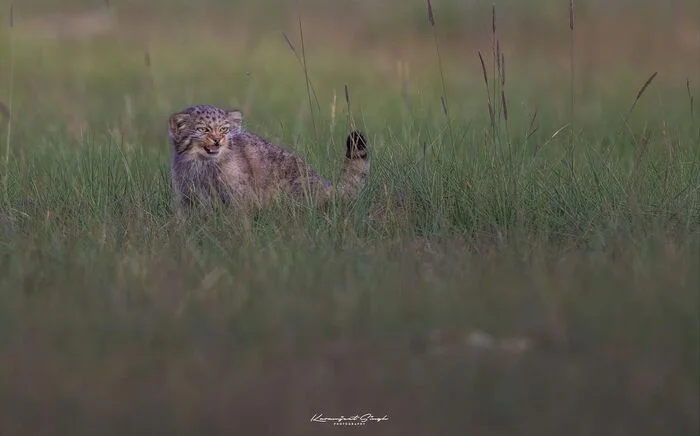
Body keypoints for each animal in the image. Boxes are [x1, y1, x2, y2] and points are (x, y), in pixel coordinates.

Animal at [167, 104, 370, 209]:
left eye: (224, 129)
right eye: (204, 129)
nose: (218, 140)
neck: (202, 165)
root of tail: (325, 186)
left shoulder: (239, 196)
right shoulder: (187, 196)